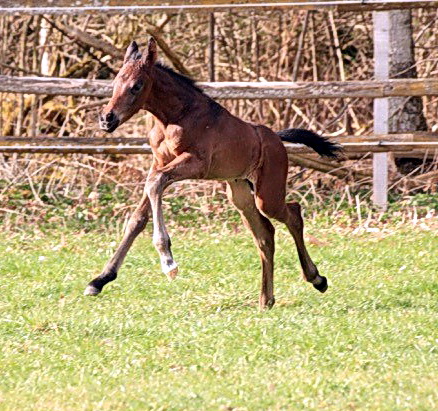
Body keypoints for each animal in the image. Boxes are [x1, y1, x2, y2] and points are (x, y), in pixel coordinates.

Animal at [84, 38, 340, 308]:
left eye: (136, 86)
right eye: (115, 83)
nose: (107, 119)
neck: (176, 116)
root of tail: (277, 138)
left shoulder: (195, 164)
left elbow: (155, 184)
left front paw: (168, 261)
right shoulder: (159, 161)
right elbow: (137, 218)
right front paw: (99, 280)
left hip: (267, 195)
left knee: (293, 214)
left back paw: (316, 279)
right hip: (240, 194)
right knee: (265, 234)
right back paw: (266, 299)